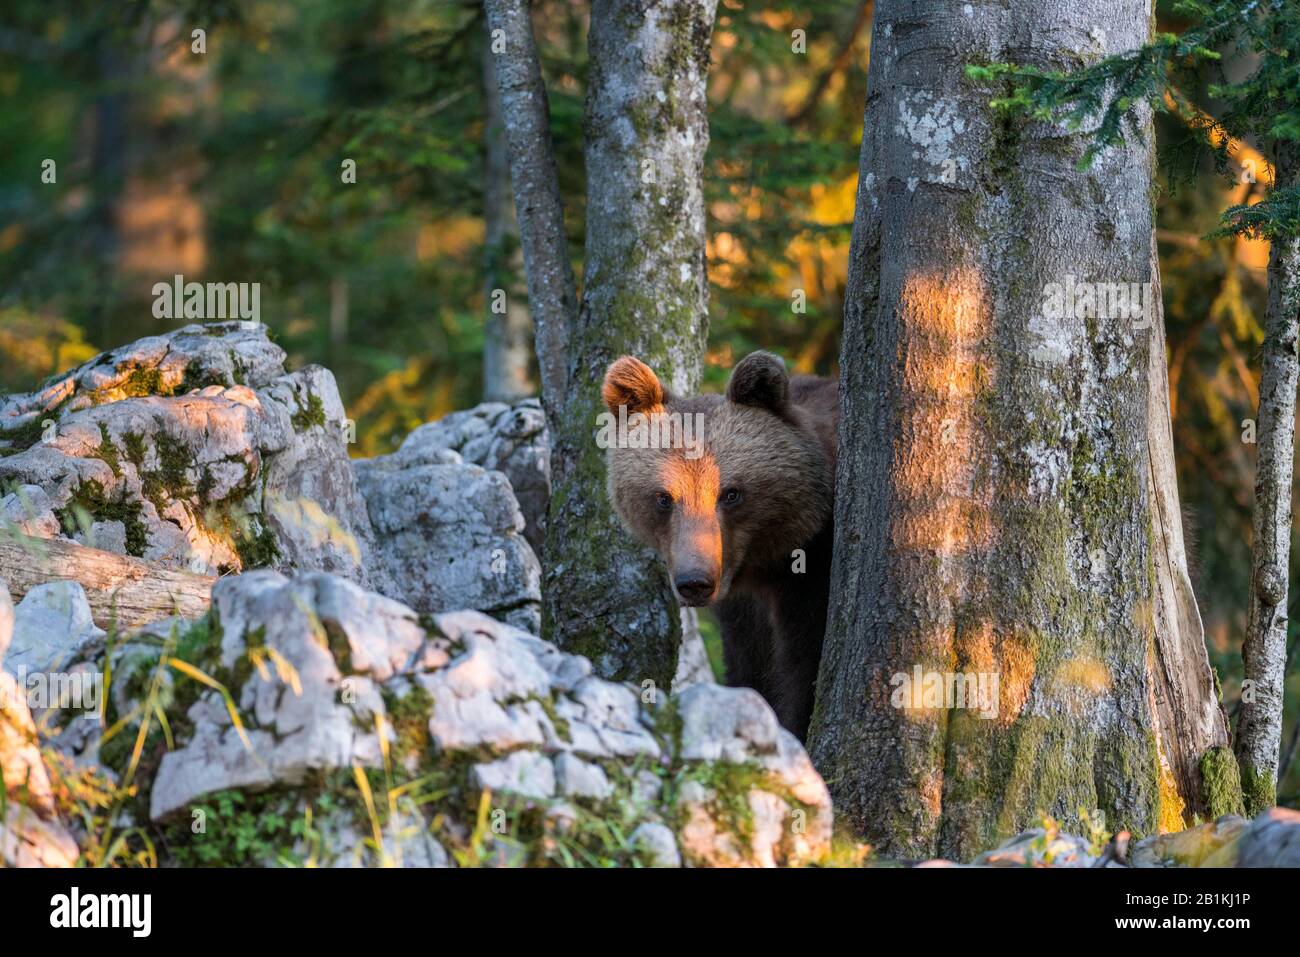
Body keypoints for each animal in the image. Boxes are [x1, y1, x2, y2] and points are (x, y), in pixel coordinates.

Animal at [600, 353, 837, 738]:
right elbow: (749, 666)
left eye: (731, 493)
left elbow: (804, 666)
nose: (695, 582)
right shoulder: (742, 611)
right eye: (664, 498)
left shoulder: (813, 576)